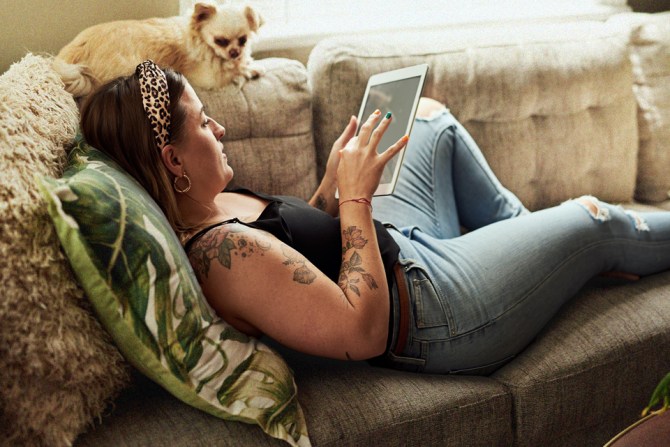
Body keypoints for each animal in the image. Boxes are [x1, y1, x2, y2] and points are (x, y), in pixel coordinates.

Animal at [55, 2, 266, 97]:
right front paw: (249, 69)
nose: (234, 52)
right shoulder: (208, 77)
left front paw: (249, 66)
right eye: (220, 41)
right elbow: (229, 71)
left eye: (243, 40)